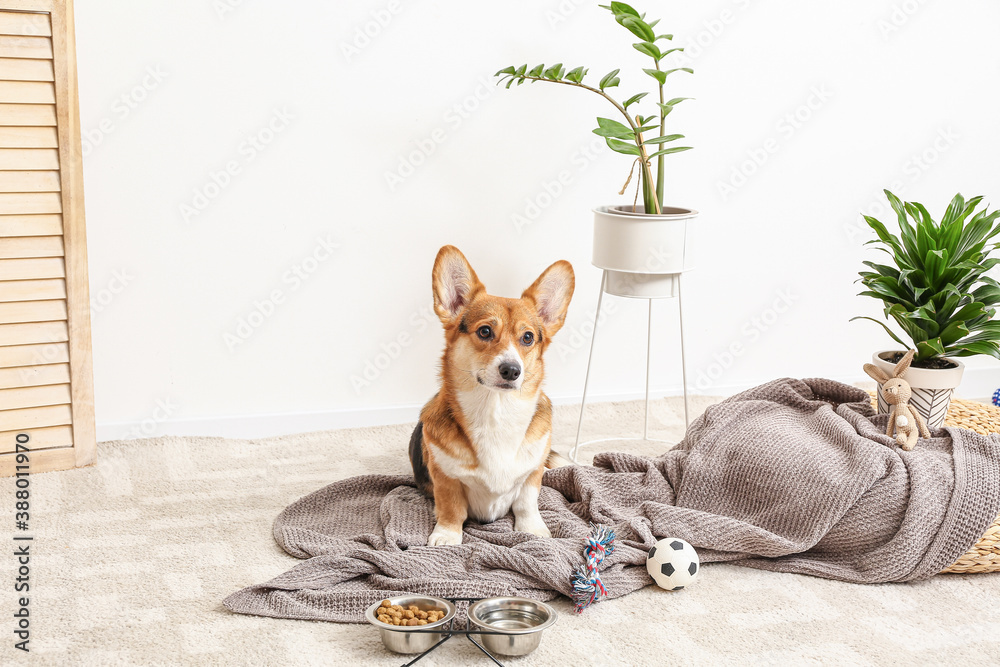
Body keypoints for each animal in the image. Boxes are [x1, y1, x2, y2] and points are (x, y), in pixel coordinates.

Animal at [410, 247, 576, 548]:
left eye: (528, 337)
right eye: (485, 331)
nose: (511, 370)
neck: (496, 411)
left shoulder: (531, 475)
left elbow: (527, 502)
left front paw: (533, 529)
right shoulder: (445, 478)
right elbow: (451, 508)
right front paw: (447, 535)